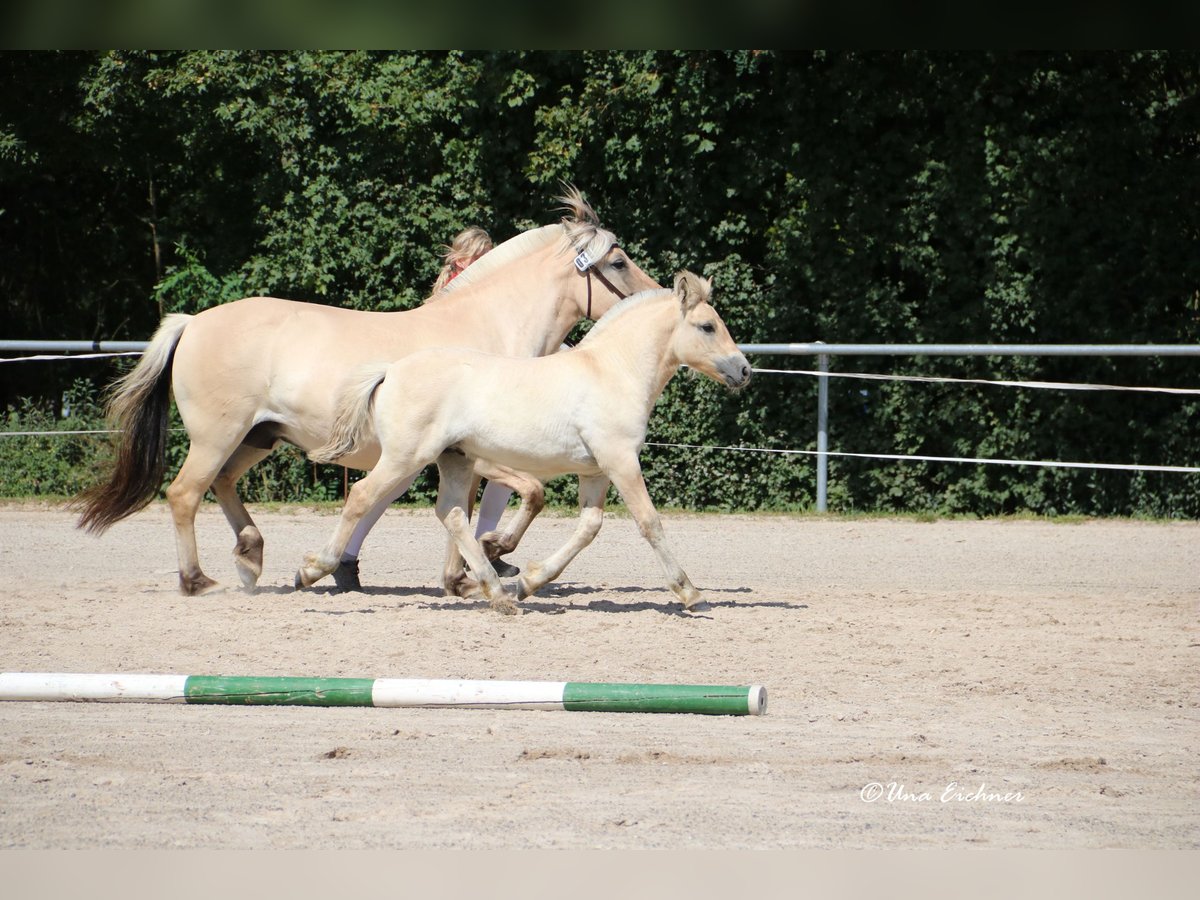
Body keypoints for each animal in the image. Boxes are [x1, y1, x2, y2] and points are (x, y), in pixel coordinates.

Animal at [75, 190, 657, 595]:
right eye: (618, 261)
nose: (656, 300)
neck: (485, 330)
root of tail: (193, 322)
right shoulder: (473, 451)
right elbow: (526, 494)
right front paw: (494, 553)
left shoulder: (458, 456)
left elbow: (467, 510)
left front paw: (467, 575)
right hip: (217, 436)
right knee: (184, 494)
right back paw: (201, 580)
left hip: (257, 438)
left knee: (221, 485)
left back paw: (253, 556)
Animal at [300, 271, 748, 619]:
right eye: (707, 327)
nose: (743, 370)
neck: (612, 372)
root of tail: (391, 370)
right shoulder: (621, 462)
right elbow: (649, 523)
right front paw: (692, 594)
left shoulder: (596, 471)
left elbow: (588, 528)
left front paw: (528, 582)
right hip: (404, 458)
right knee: (362, 496)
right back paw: (312, 569)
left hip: (454, 460)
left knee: (452, 514)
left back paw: (498, 594)